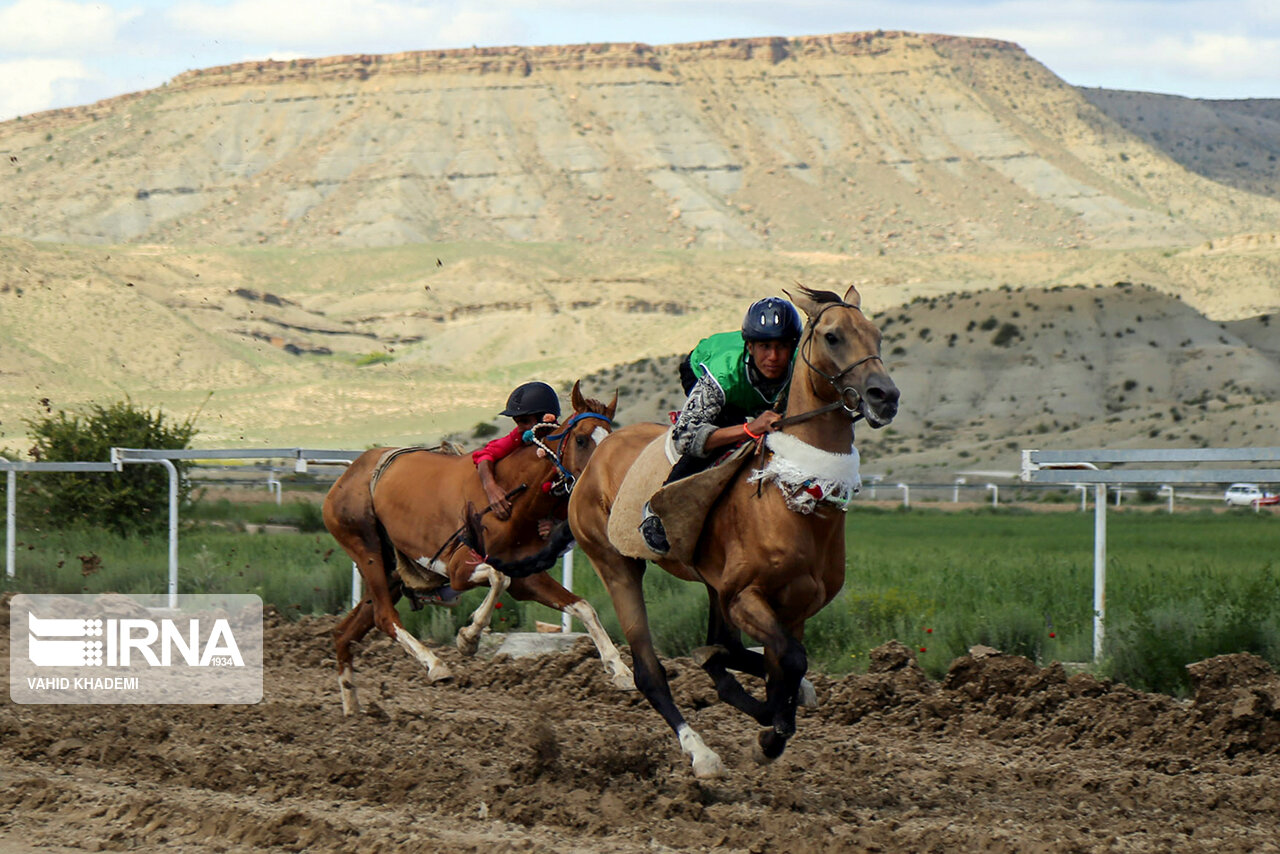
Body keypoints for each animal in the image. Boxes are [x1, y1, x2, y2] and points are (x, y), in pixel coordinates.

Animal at [322, 381, 632, 717]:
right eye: (581, 439)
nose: (600, 485)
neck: (514, 495)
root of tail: (348, 475)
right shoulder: (459, 568)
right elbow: (498, 579)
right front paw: (468, 639)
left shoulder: (526, 577)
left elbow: (582, 606)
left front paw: (621, 670)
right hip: (366, 550)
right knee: (383, 617)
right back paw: (435, 665)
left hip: (391, 574)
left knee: (345, 632)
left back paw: (352, 708)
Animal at [568, 286, 901, 773]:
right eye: (833, 336)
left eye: (877, 334)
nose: (885, 396)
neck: (795, 495)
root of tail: (597, 452)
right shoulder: (746, 596)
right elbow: (790, 660)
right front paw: (770, 733)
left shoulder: (794, 606)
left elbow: (787, 663)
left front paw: (774, 719)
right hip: (616, 564)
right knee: (649, 671)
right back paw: (700, 752)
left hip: (712, 584)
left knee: (725, 649)